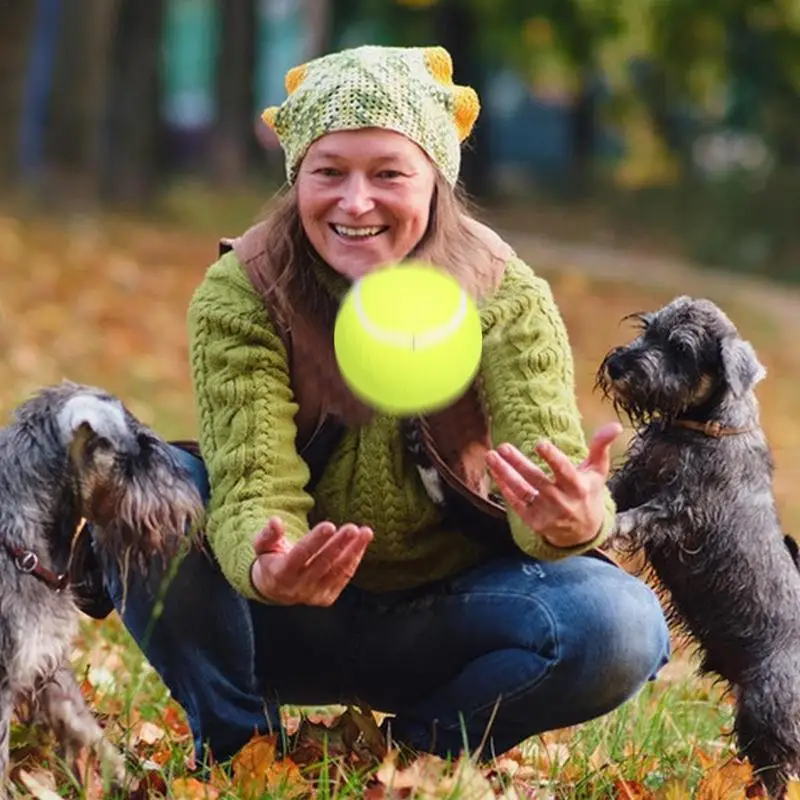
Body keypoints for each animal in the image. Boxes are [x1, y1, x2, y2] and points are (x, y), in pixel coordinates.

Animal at [596, 296, 800, 796]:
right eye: (648, 330)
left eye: (682, 349)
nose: (618, 364)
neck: (696, 424)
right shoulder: (634, 479)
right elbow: (609, 493)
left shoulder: (679, 510)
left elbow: (634, 519)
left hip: (767, 713)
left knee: (779, 771)